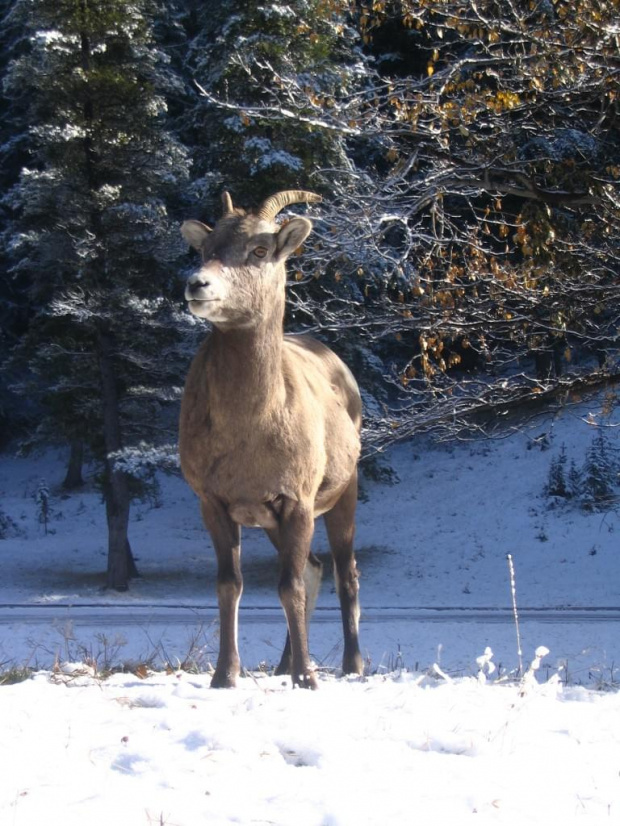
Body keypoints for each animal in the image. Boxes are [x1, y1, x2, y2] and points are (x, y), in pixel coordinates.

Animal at [178, 190, 364, 684]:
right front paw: (225, 676)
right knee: (316, 569)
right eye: (205, 250)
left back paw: (352, 665)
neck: (249, 430)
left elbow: (289, 586)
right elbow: (231, 586)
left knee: (344, 573)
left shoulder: (296, 501)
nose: (197, 284)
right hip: (274, 524)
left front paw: (308, 680)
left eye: (260, 250)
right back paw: (282, 665)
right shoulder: (215, 504)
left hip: (344, 495)